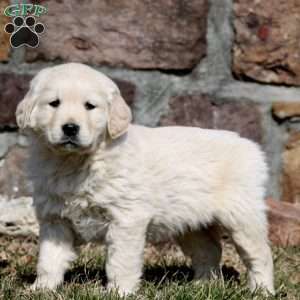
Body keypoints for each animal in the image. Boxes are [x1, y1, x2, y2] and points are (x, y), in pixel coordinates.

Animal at [15, 62, 274, 296]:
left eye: (90, 106)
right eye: (54, 103)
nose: (70, 128)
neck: (75, 162)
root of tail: (249, 145)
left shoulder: (126, 219)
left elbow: (120, 261)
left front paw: (119, 292)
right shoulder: (54, 219)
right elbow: (49, 259)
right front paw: (41, 289)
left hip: (242, 216)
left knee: (260, 255)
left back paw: (262, 290)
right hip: (192, 223)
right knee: (208, 251)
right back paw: (203, 286)